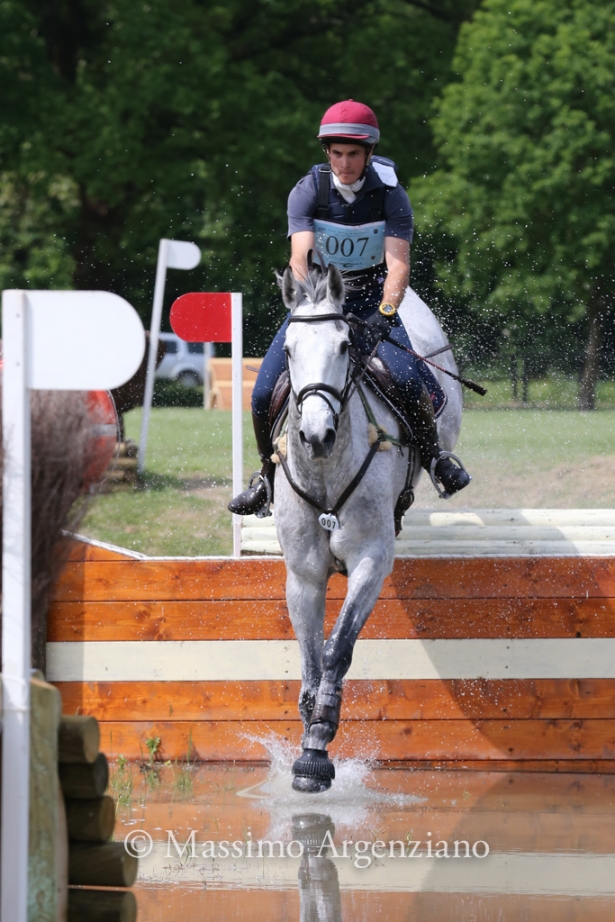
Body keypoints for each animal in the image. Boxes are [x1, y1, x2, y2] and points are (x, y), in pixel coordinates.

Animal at [274, 264, 462, 792]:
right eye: (289, 349)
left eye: (344, 346)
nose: (316, 435)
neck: (326, 468)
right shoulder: (304, 575)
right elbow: (311, 657)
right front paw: (309, 735)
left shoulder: (370, 561)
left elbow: (337, 649)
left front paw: (317, 745)